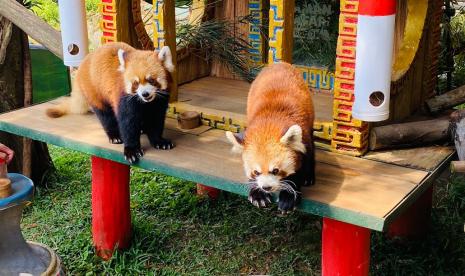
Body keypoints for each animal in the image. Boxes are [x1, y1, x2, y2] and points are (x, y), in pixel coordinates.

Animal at [46, 42, 175, 164]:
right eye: (135, 83)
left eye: (151, 80)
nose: (145, 94)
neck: (146, 103)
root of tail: (83, 64)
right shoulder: (125, 99)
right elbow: (127, 123)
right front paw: (132, 150)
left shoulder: (159, 103)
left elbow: (156, 120)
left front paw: (159, 141)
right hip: (95, 92)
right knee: (105, 116)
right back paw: (114, 136)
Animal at [226, 62, 314, 211]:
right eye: (256, 172)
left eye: (275, 170)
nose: (266, 187)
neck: (269, 121)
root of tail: (280, 63)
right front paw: (258, 194)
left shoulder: (303, 135)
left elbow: (299, 168)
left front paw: (289, 197)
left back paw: (309, 177)